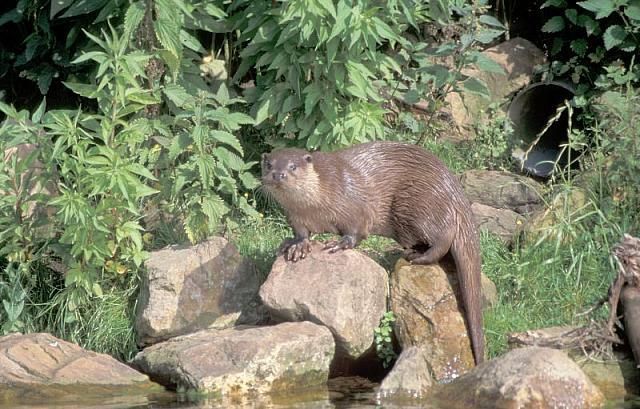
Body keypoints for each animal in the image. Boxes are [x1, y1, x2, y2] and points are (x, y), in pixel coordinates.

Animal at [260, 140, 484, 364]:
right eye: (269, 165)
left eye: (293, 166)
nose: (278, 174)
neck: (315, 205)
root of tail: (454, 191)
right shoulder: (295, 217)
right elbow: (301, 234)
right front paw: (296, 245)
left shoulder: (354, 205)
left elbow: (356, 229)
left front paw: (340, 243)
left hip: (419, 203)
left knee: (444, 236)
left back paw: (419, 257)